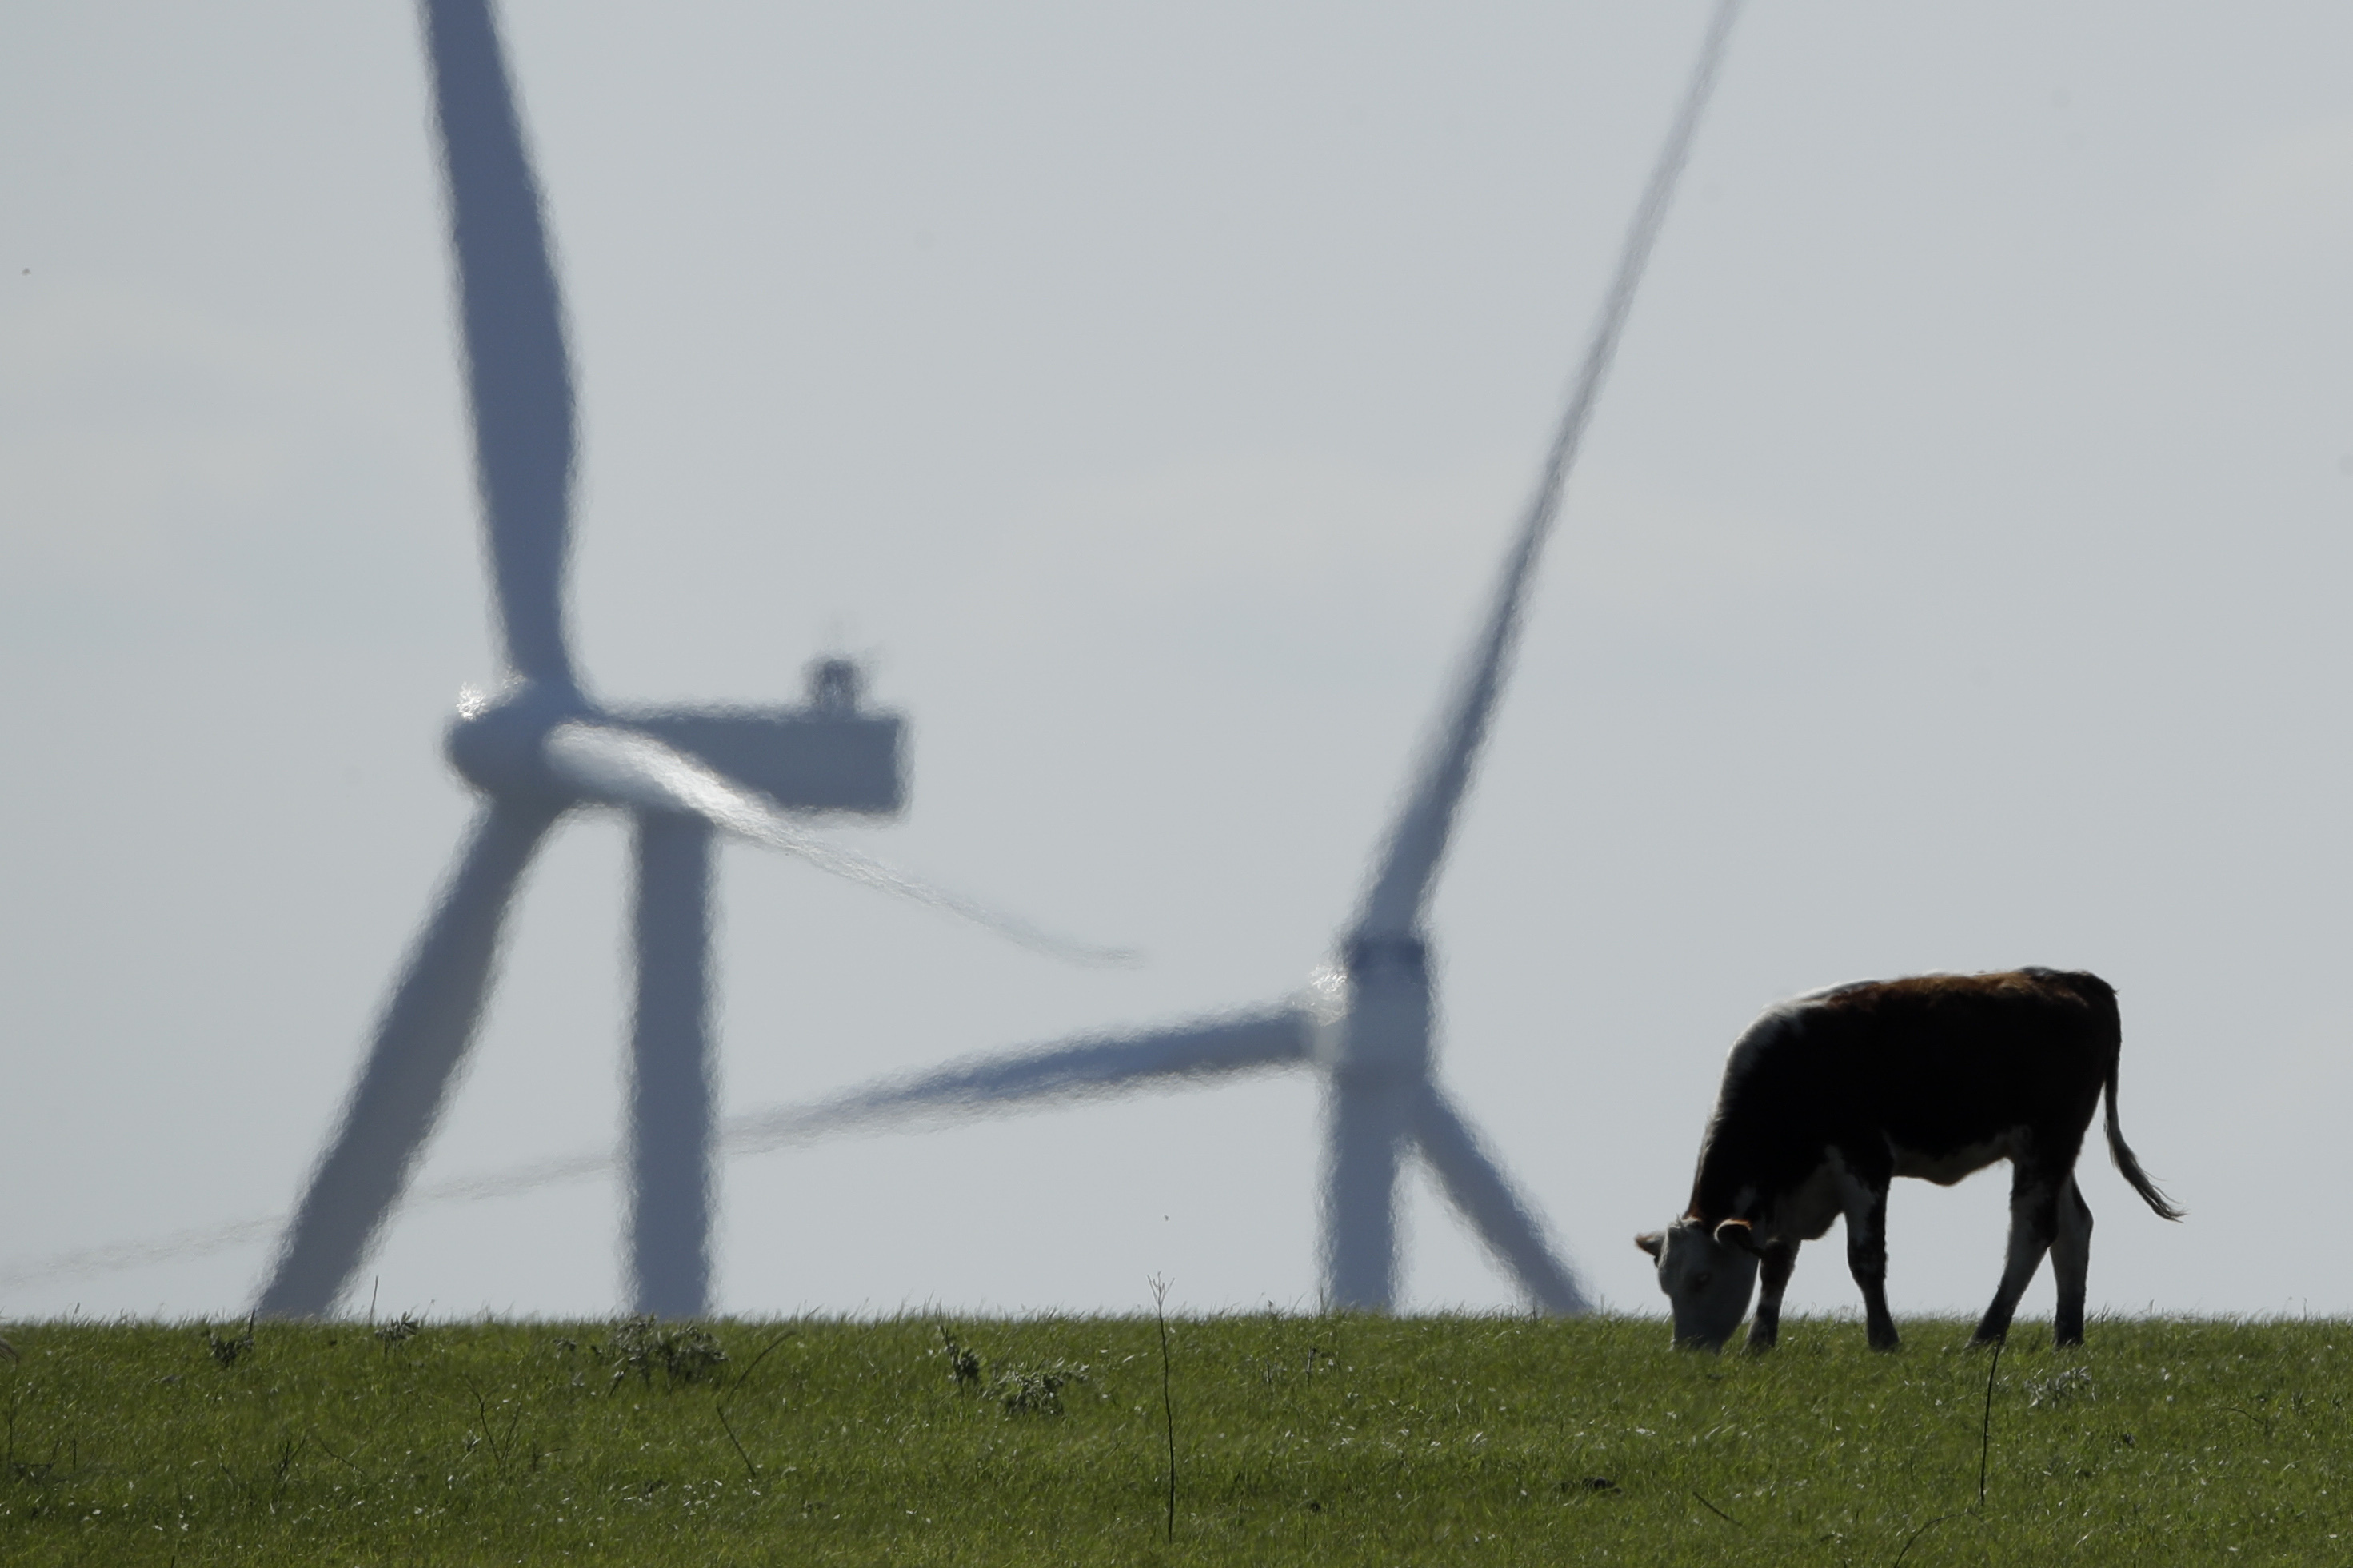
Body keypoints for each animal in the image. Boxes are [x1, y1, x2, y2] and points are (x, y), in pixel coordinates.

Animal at [1637, 968, 2180, 1352]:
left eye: (1702, 1279)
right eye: (1664, 1283)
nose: (1686, 1352)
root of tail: (2072, 979)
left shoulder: (1864, 1161)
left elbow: (1865, 1259)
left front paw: (1884, 1340)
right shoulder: (1789, 1189)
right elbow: (1776, 1263)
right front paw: (1759, 1344)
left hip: (2048, 1142)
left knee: (2032, 1231)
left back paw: (1985, 1337)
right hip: (2050, 1150)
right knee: (2073, 1227)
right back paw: (2067, 1337)